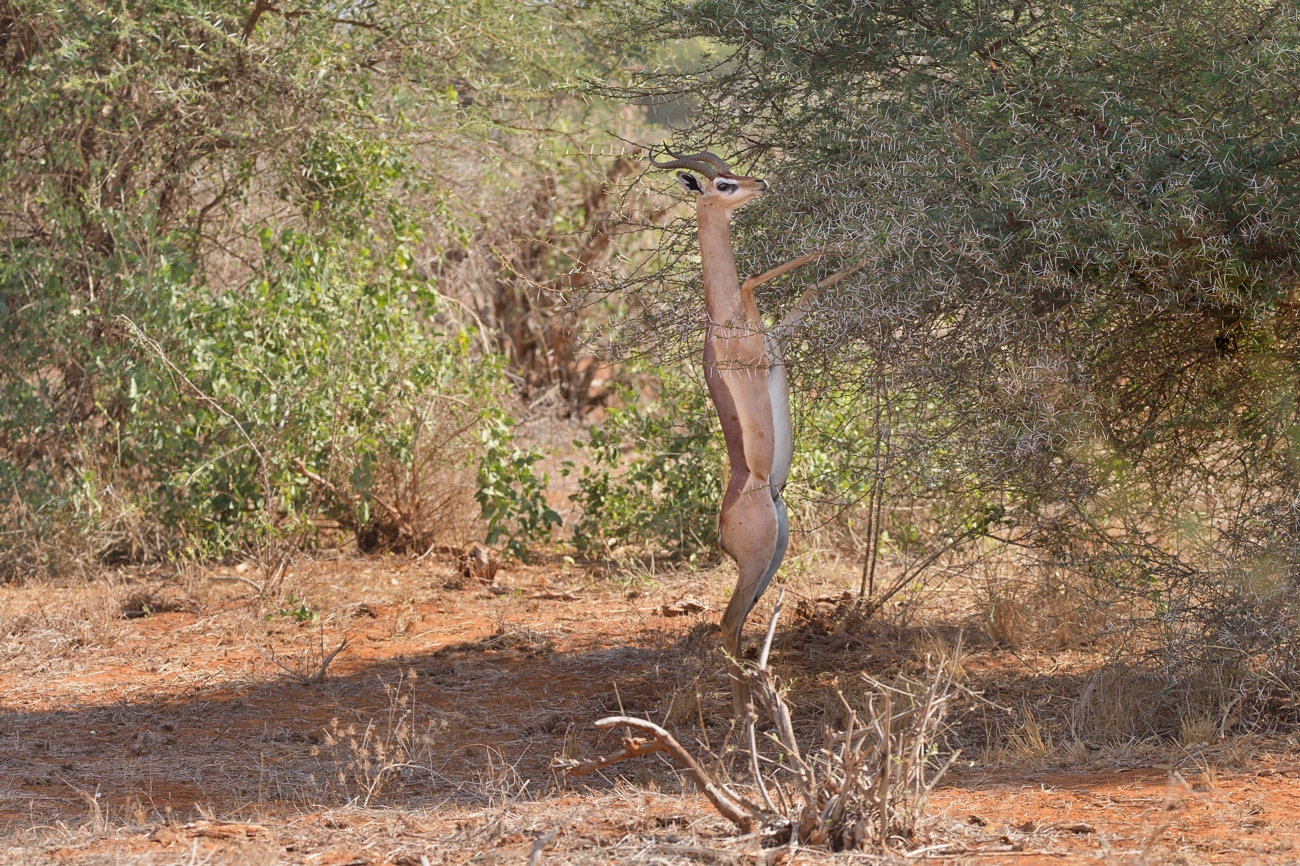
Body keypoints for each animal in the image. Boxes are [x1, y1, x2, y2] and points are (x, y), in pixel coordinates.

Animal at [647, 148, 852, 712]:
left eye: (732, 171)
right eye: (722, 183)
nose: (759, 182)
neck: (724, 320)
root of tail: (721, 526)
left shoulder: (777, 340)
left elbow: (804, 291)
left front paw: (854, 252)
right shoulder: (759, 349)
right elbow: (753, 279)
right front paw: (850, 244)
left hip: (772, 559)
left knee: (736, 629)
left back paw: (754, 707)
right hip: (757, 559)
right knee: (725, 624)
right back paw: (747, 718)